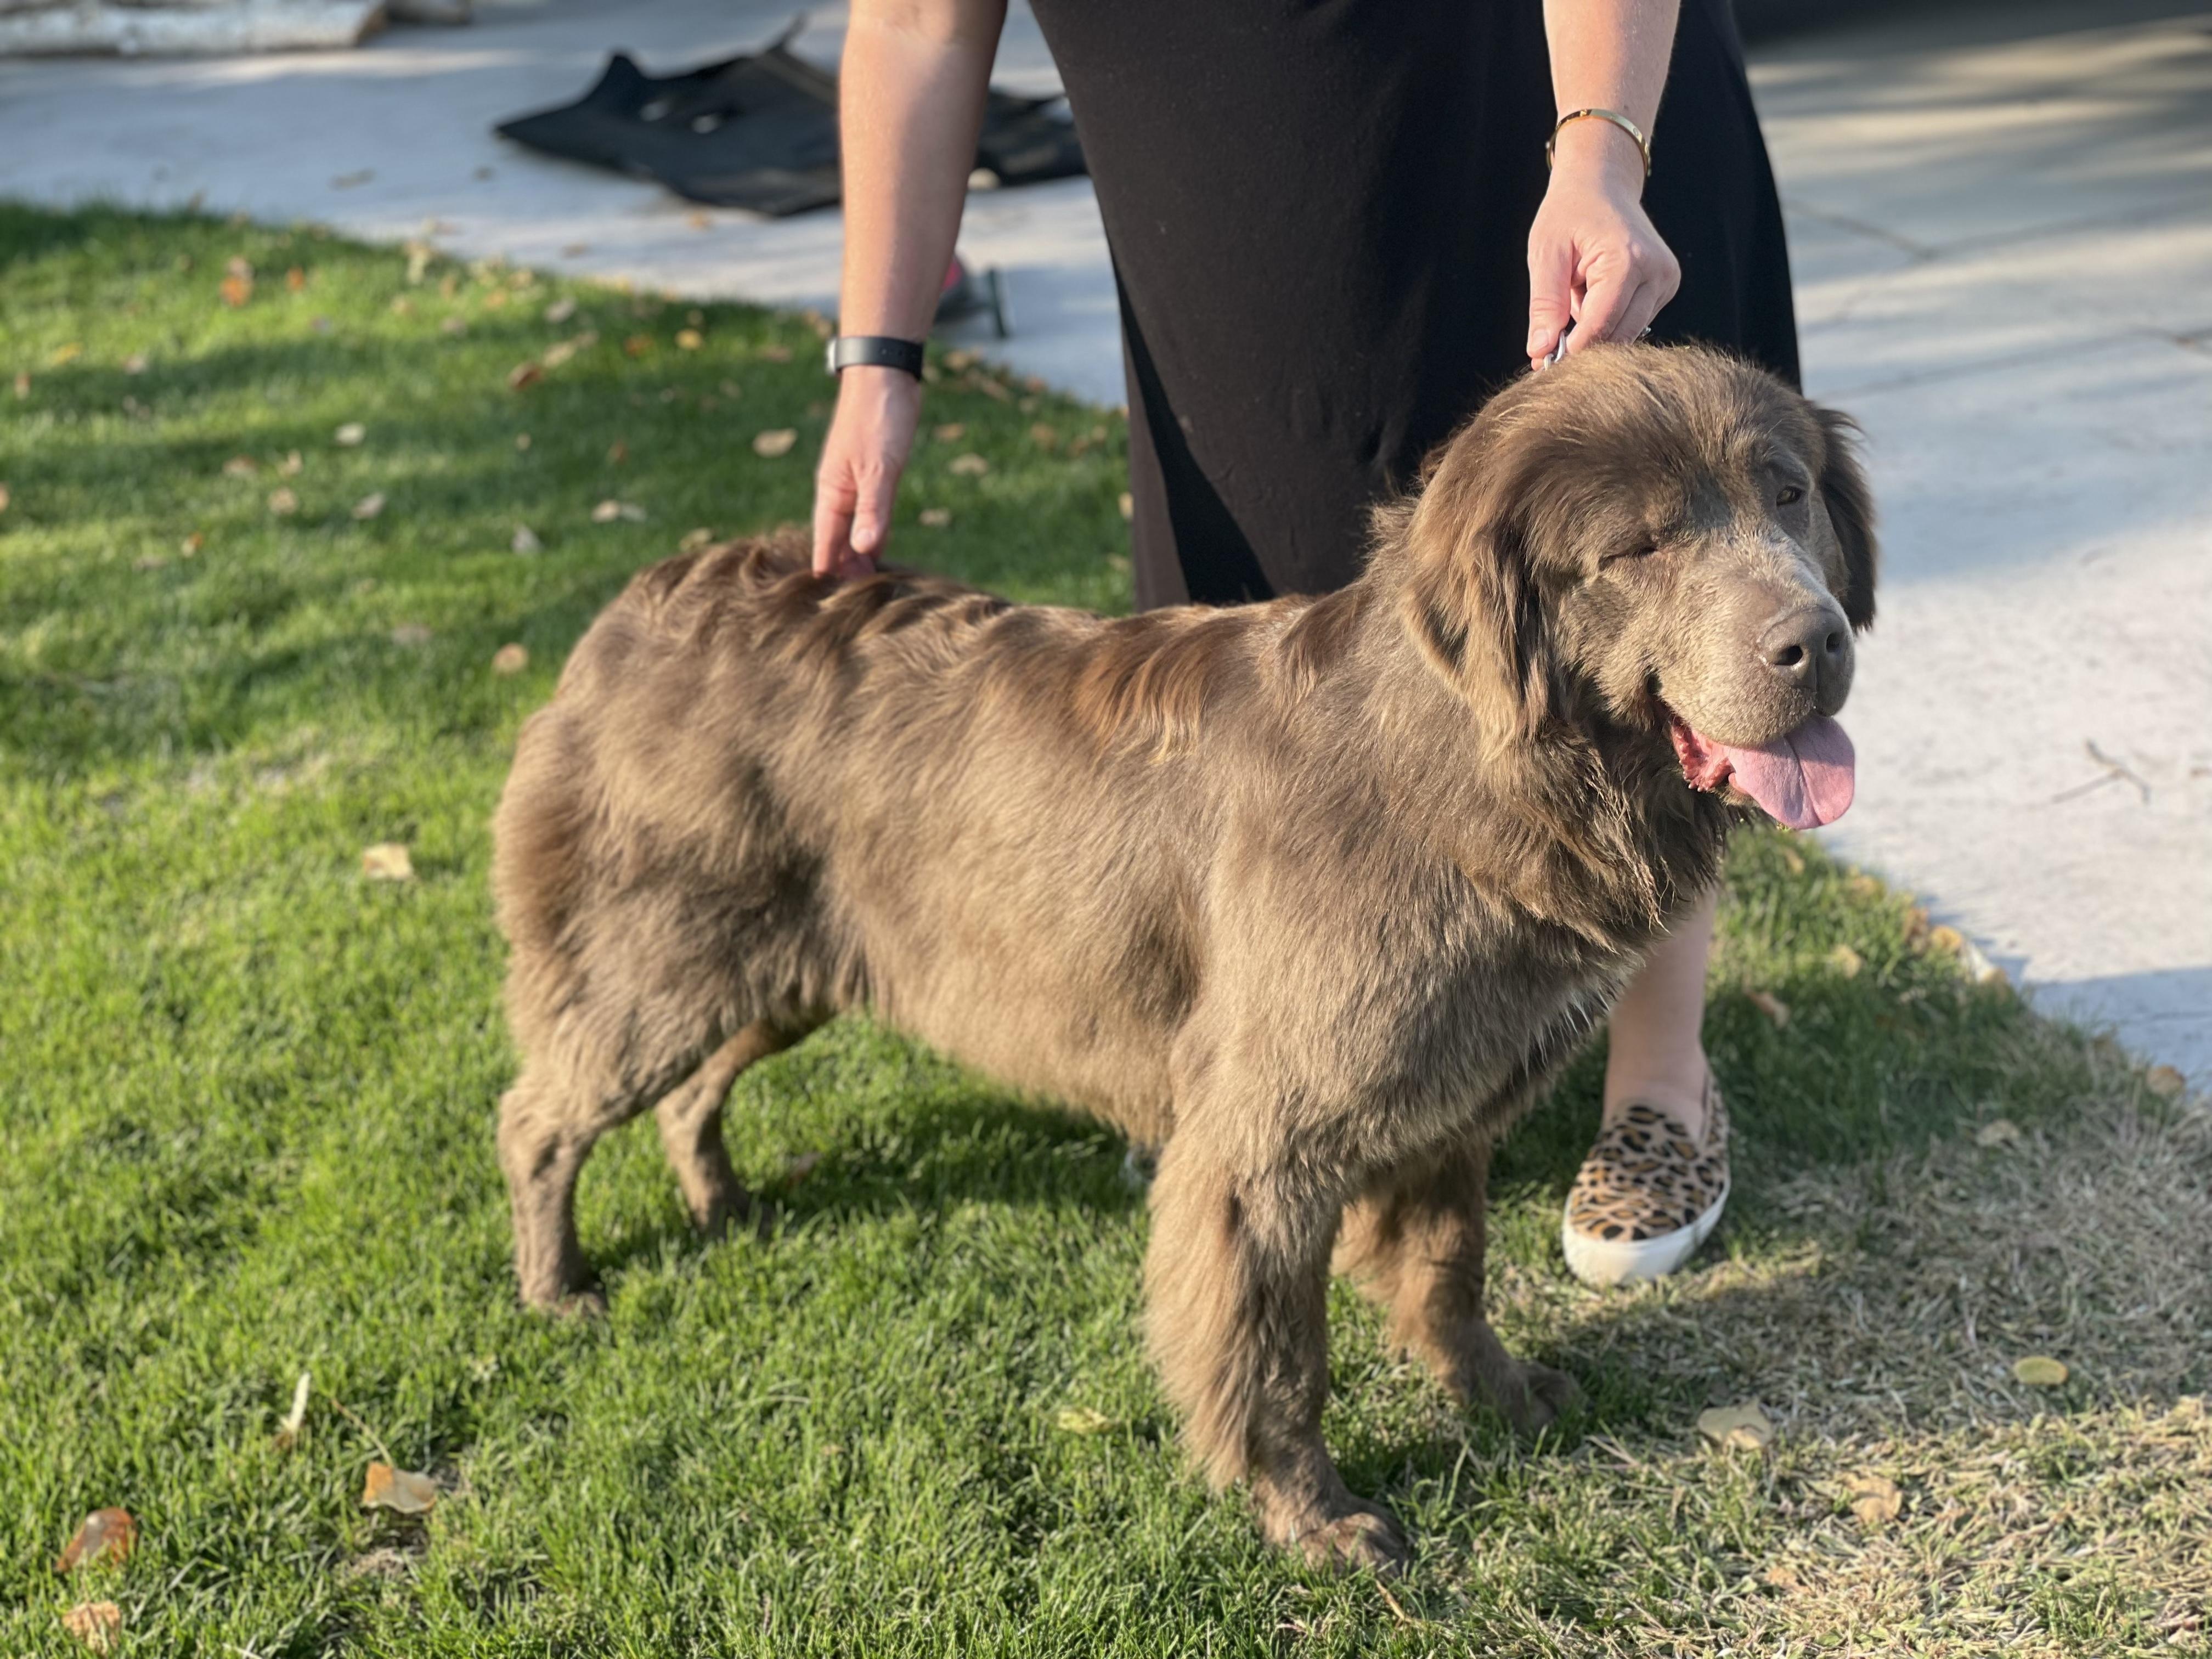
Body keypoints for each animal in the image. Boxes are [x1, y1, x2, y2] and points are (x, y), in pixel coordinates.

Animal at [491, 344, 1875, 1572]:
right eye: (1638, 548)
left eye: (1788, 491)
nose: (1817, 643)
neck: (1463, 770)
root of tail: (647, 596)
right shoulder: (1266, 1145)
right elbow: (1273, 1355)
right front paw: (1317, 1520)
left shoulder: (1447, 1103)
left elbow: (1448, 1274)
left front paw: (1499, 1397)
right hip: (666, 955)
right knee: (540, 1116)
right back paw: (558, 1288)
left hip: (792, 965)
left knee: (690, 1091)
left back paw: (720, 1198)